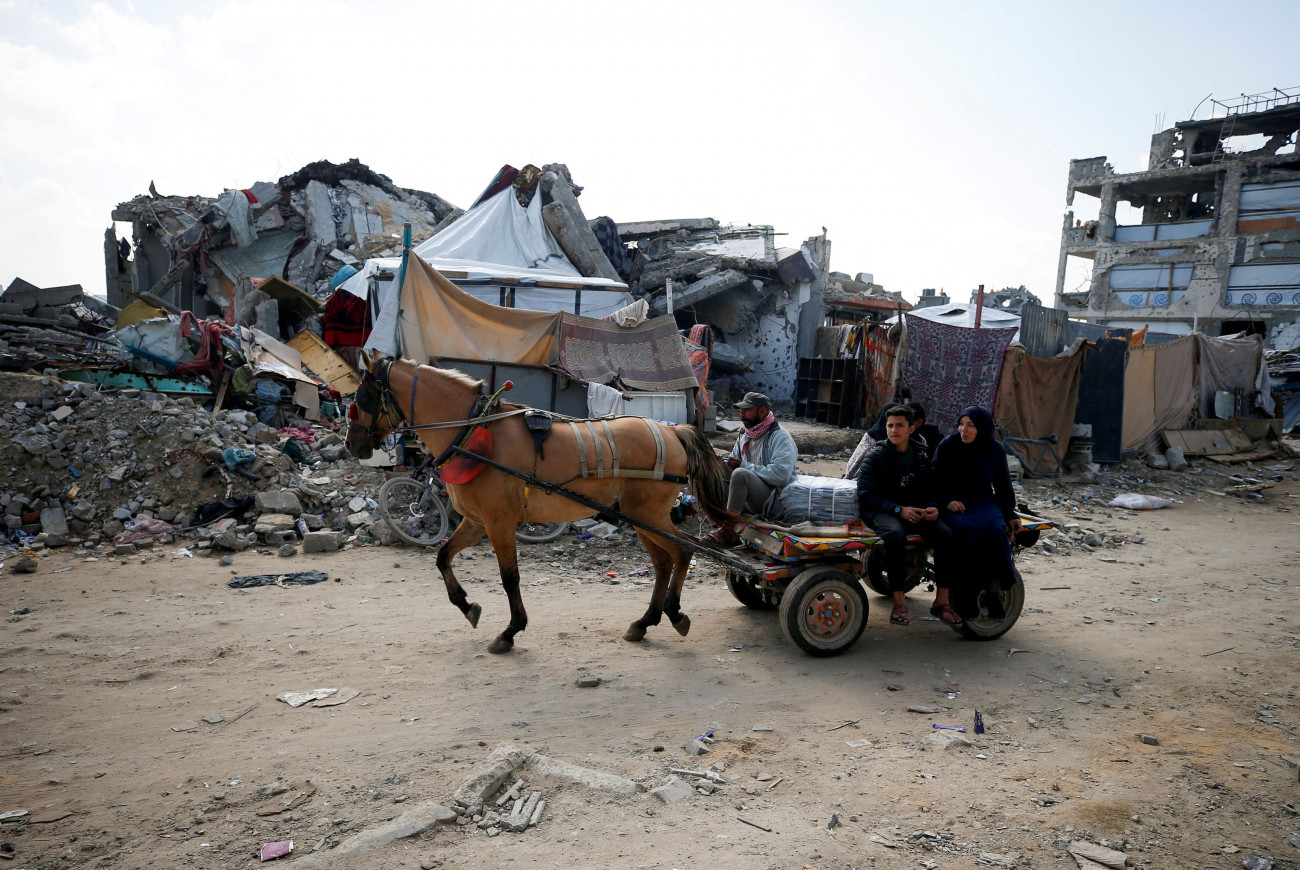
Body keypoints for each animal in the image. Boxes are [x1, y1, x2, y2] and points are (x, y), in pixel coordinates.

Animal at [343, 353, 733, 650]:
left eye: (362, 399)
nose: (352, 444)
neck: (472, 431)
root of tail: (673, 430)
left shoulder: (499, 523)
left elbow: (509, 577)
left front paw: (510, 631)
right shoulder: (476, 522)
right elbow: (442, 558)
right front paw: (468, 606)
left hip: (648, 513)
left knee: (682, 552)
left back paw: (674, 612)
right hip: (641, 517)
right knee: (664, 562)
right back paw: (644, 621)